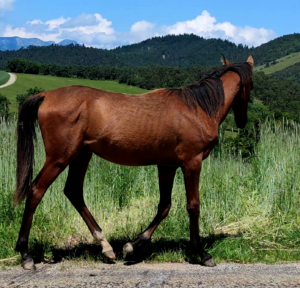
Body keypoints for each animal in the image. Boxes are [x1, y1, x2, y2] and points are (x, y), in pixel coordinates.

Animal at [14, 54, 253, 270]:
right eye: (251, 86)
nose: (242, 122)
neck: (198, 108)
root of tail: (46, 95)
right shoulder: (191, 163)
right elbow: (193, 206)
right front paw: (202, 253)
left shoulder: (167, 165)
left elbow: (164, 206)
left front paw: (132, 246)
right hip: (59, 158)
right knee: (36, 191)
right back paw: (26, 255)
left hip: (82, 155)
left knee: (73, 191)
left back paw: (106, 246)